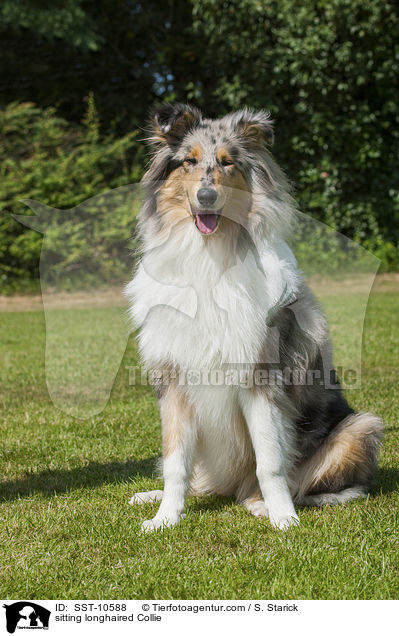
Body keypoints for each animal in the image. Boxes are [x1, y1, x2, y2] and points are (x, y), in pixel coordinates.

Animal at [126, 104, 386, 532]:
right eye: (189, 161)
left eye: (227, 163)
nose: (207, 196)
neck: (208, 255)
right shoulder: (174, 379)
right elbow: (175, 461)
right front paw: (165, 518)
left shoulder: (259, 376)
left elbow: (271, 461)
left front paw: (283, 516)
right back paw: (154, 495)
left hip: (361, 426)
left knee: (338, 488)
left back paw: (269, 505)